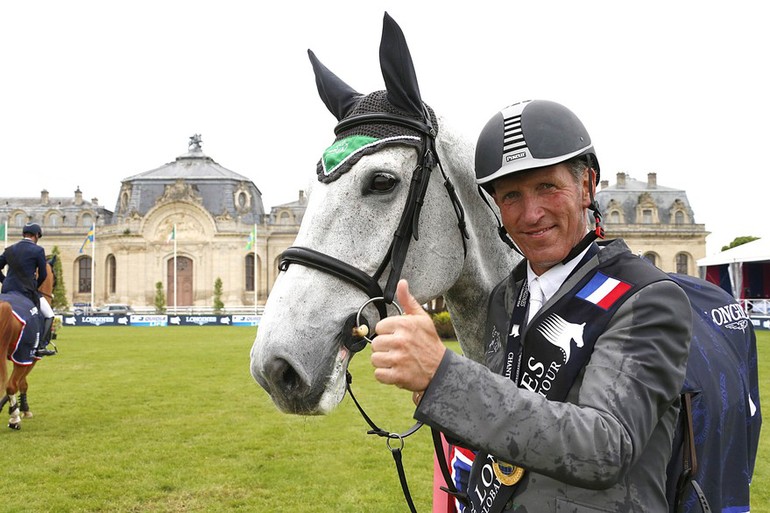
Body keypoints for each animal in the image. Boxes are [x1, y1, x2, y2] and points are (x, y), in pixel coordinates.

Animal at [0, 256, 55, 428]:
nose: (52, 295)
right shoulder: (30, 357)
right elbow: (21, 383)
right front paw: (22, 409)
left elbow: (18, 383)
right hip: (24, 352)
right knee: (11, 384)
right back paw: (14, 420)